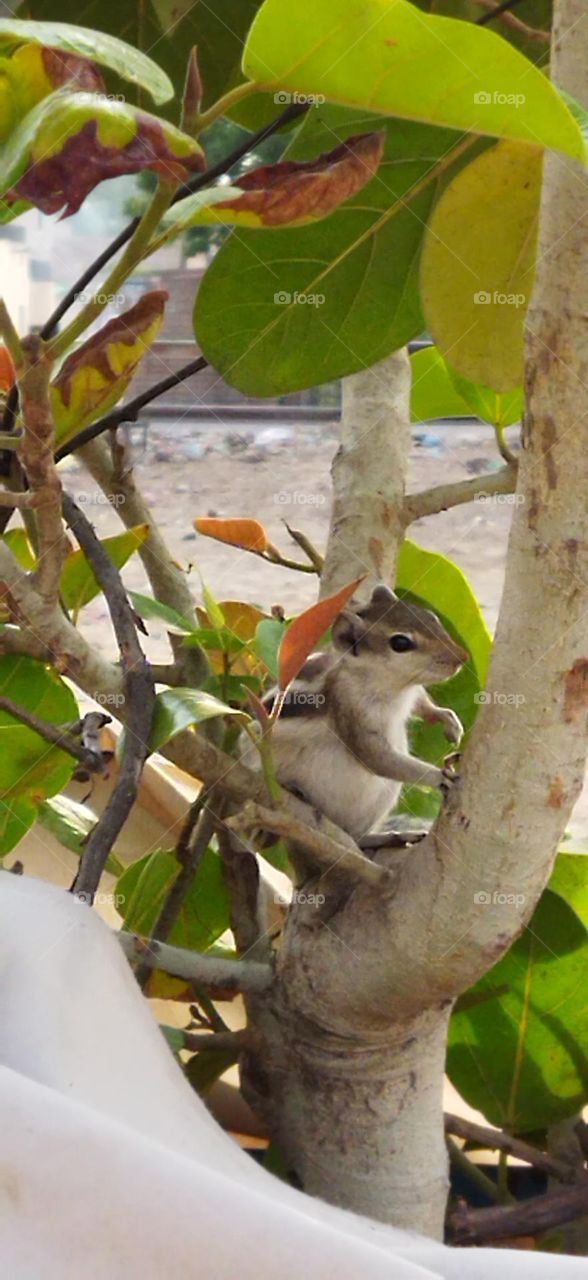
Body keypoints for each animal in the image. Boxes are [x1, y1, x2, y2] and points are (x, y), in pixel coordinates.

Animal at [250, 584, 468, 846]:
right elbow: (375, 757)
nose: (462, 657)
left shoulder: (411, 693)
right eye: (400, 642)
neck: (395, 687)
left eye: (432, 616)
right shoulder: (350, 711)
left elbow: (422, 703)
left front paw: (448, 720)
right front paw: (439, 776)